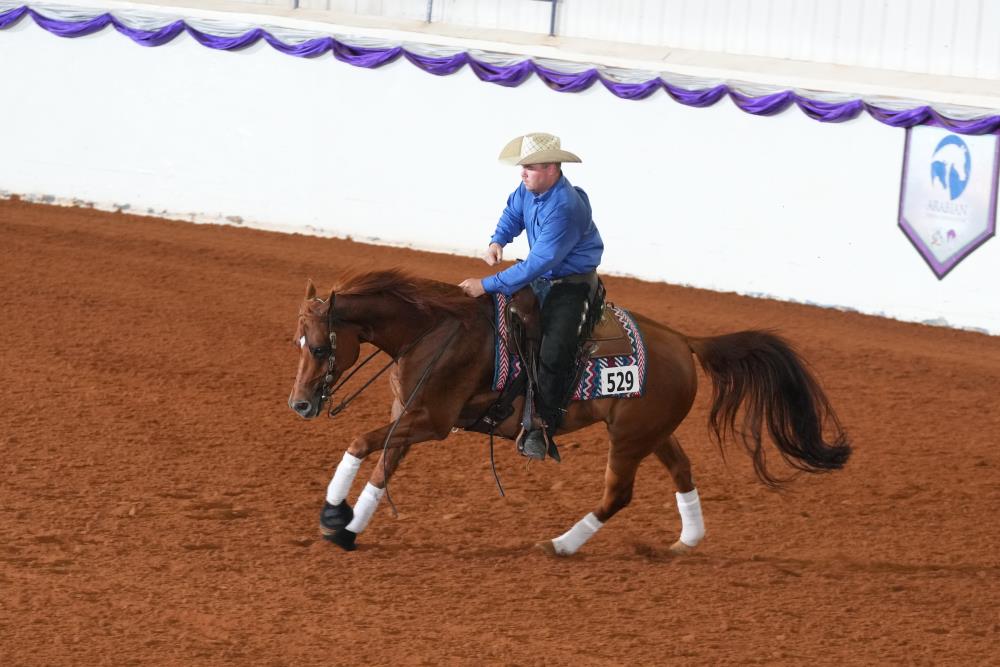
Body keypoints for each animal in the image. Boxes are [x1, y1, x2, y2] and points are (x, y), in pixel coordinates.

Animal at [288, 269, 851, 555]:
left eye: (319, 347)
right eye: (298, 343)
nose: (300, 404)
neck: (434, 332)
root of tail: (684, 340)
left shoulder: (432, 422)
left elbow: (362, 442)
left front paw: (335, 517)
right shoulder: (409, 416)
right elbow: (381, 465)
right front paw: (346, 525)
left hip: (629, 440)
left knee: (618, 495)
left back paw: (562, 543)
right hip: (651, 432)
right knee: (682, 470)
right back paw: (688, 539)